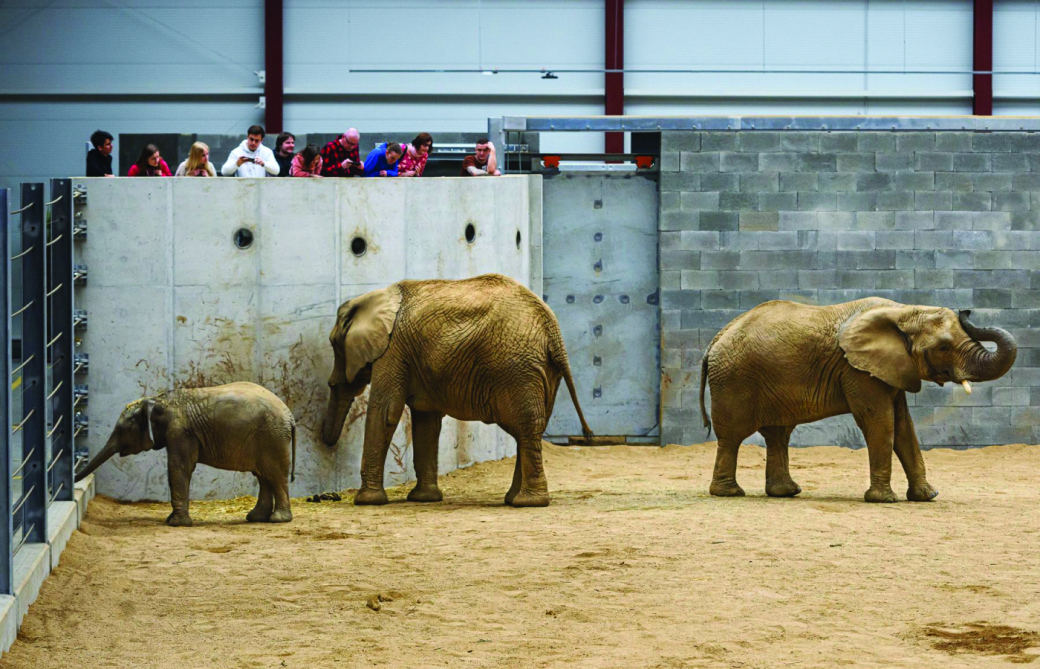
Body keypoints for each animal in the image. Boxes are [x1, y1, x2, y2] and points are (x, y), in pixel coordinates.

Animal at [75, 384, 297, 526]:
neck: (159, 400)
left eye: (123, 429)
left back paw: (278, 520)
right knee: (263, 475)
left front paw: (176, 523)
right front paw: (171, 520)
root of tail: (290, 416)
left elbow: (179, 467)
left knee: (274, 474)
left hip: (272, 436)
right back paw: (256, 518)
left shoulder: (180, 432)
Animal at [316, 272, 594, 507]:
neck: (375, 297)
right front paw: (423, 499)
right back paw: (514, 499)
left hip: (517, 367)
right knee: (529, 430)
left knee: (525, 427)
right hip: (542, 370)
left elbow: (387, 411)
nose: (327, 443)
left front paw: (366, 501)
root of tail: (552, 329)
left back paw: (527, 503)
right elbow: (426, 420)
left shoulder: (393, 349)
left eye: (334, 344)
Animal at [698, 297, 1015, 503]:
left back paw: (786, 493)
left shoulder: (890, 368)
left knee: (778, 434)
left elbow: (904, 427)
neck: (904, 311)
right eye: (944, 347)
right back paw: (729, 493)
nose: (966, 309)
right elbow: (881, 423)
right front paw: (884, 500)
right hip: (735, 381)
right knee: (732, 436)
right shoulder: (856, 370)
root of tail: (713, 341)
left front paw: (928, 496)